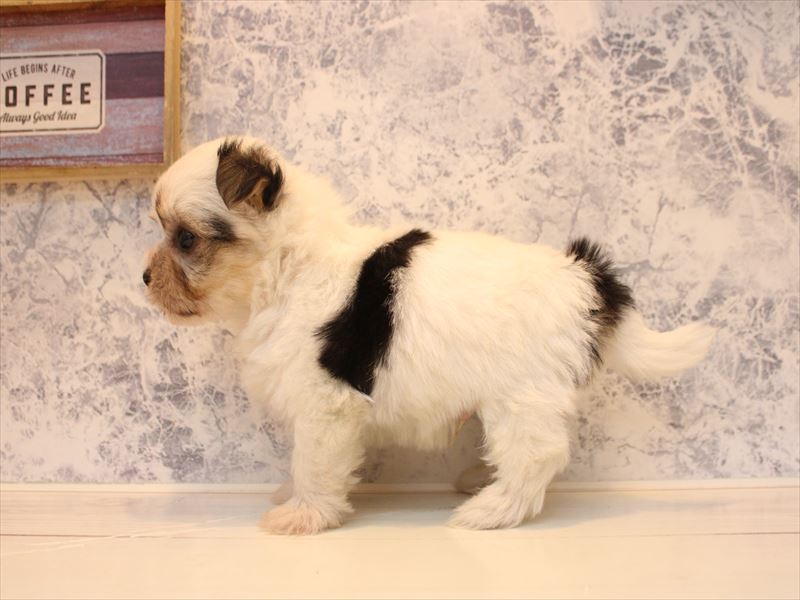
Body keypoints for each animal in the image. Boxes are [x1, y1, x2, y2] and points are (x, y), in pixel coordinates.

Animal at [143, 136, 715, 534]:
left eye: (186, 239)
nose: (146, 278)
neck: (290, 268)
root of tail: (586, 279)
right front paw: (293, 497)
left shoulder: (325, 404)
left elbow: (314, 459)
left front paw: (304, 514)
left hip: (523, 391)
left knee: (539, 453)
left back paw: (492, 509)